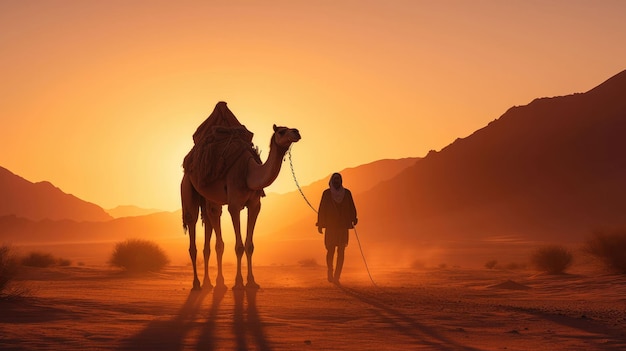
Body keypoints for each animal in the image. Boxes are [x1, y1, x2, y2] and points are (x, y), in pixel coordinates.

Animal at [180, 105, 300, 292]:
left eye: (290, 128)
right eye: (281, 131)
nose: (296, 132)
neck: (248, 174)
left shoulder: (255, 205)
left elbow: (249, 245)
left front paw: (251, 282)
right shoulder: (235, 205)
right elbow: (238, 246)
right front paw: (238, 283)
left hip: (210, 199)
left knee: (211, 220)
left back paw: (212, 282)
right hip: (187, 185)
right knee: (192, 224)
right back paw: (198, 284)